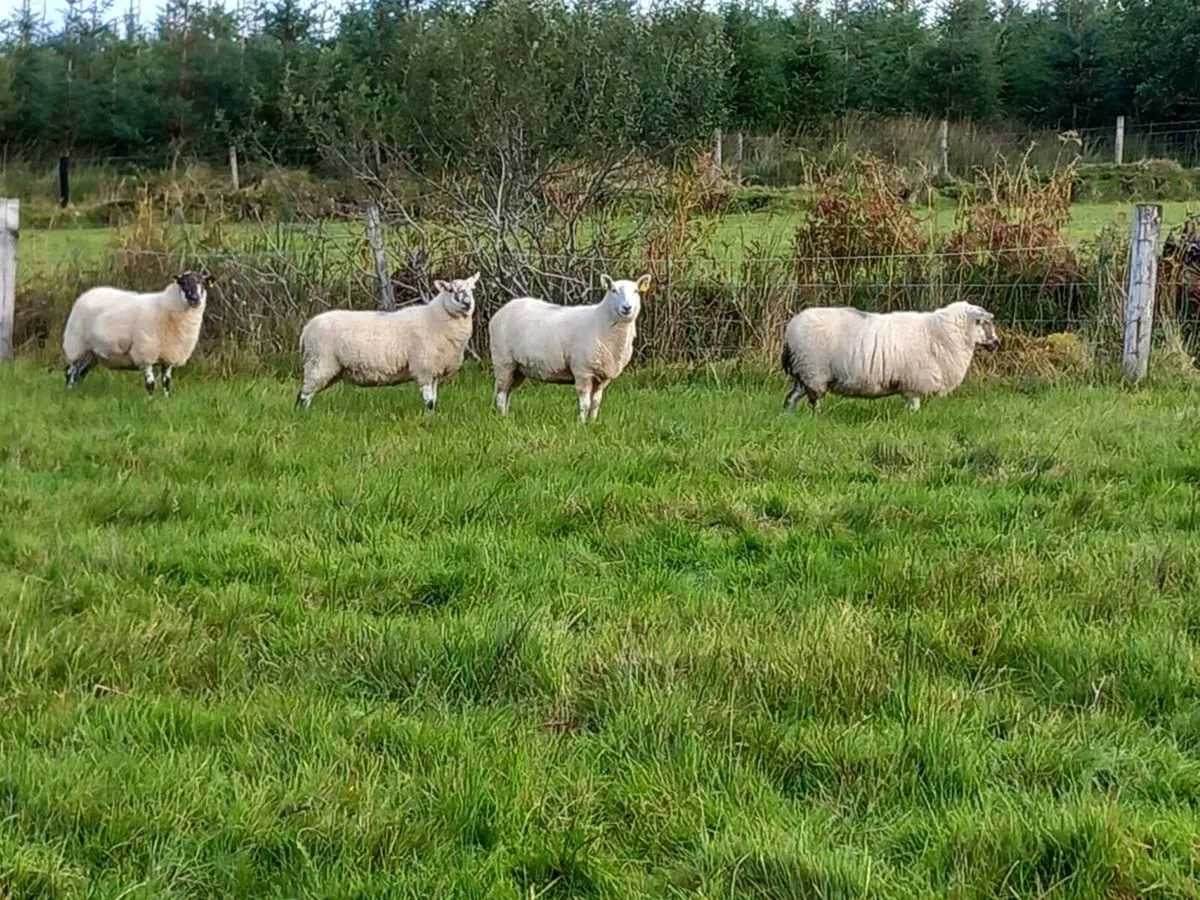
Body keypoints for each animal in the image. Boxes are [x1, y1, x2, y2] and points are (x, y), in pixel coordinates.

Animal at [62, 270, 210, 397]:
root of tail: (89, 292)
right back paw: (69, 391)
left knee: (81, 373)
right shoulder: (145, 353)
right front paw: (149, 402)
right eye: (183, 282)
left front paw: (166, 399)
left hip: (93, 352)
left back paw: (77, 391)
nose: (195, 298)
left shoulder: (170, 356)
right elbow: (150, 384)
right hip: (76, 344)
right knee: (71, 371)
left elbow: (166, 382)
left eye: (203, 283)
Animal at [296, 273, 480, 411]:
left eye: (471, 289)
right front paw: (429, 418)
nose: (467, 303)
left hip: (331, 368)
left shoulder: (434, 370)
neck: (435, 318)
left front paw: (433, 416)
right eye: (450, 289)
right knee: (303, 395)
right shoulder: (424, 367)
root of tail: (307, 328)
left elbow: (434, 400)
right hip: (320, 361)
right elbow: (428, 401)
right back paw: (303, 416)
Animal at [489, 273, 651, 422]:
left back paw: (506, 416)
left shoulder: (602, 376)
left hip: (517, 368)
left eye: (636, 291)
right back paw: (503, 418)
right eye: (613, 290)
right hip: (503, 361)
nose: (627, 308)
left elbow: (596, 403)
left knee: (507, 391)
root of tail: (501, 311)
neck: (602, 322)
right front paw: (582, 424)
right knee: (501, 394)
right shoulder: (582, 371)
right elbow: (585, 403)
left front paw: (593, 423)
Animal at [780, 300, 1000, 412]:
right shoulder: (914, 383)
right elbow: (914, 406)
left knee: (790, 398)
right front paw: (913, 419)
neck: (940, 333)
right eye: (985, 323)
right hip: (814, 372)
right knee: (814, 401)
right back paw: (817, 416)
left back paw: (788, 416)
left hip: (803, 374)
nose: (997, 343)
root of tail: (790, 330)